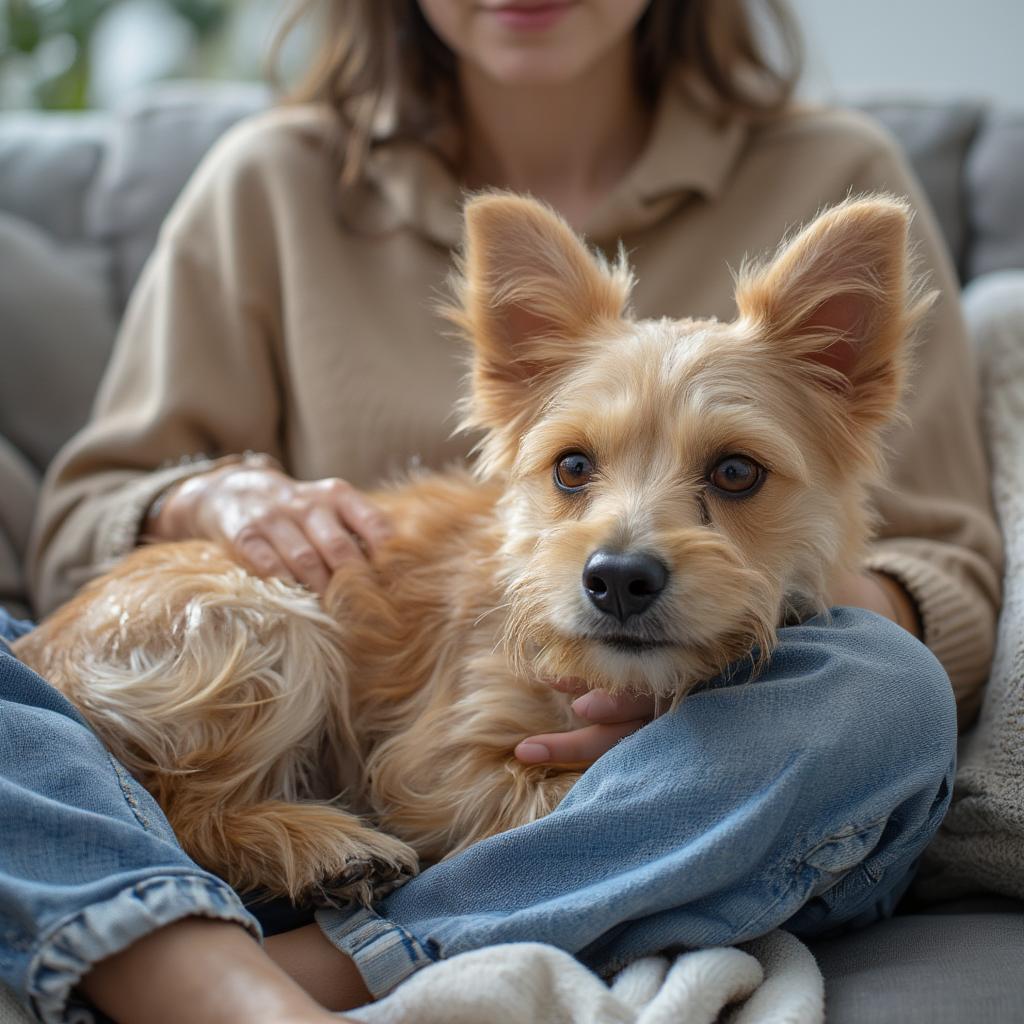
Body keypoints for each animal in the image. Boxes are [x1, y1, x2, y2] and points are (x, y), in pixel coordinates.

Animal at [16, 190, 929, 905]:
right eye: (572, 467)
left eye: (737, 472)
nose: (617, 579)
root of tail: (39, 650)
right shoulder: (429, 766)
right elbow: (552, 791)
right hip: (268, 623)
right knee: (182, 813)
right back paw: (323, 847)